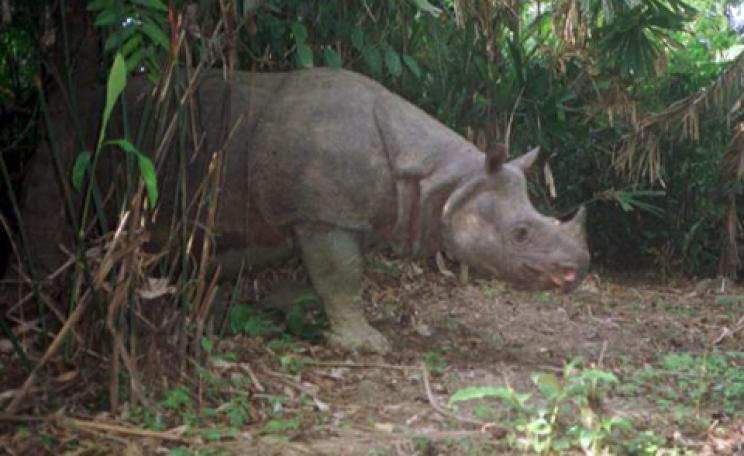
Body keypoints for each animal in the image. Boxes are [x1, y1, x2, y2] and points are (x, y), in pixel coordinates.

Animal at [20, 68, 589, 353]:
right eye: (520, 233)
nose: (579, 268)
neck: (444, 179)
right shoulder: (322, 211)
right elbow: (341, 272)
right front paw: (364, 345)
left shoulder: (335, 210)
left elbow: (323, 270)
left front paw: (291, 311)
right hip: (67, 132)